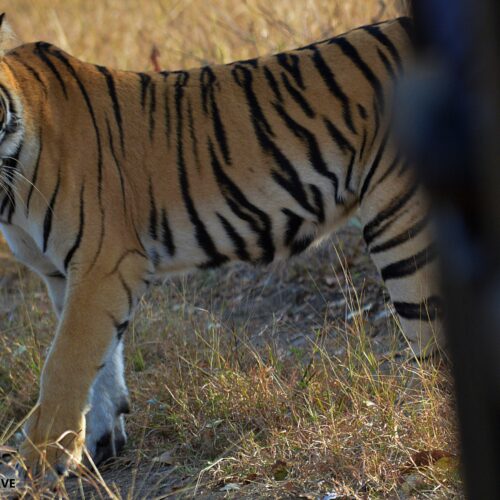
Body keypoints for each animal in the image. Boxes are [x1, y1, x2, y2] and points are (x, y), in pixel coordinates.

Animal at [0, 12, 440, 476]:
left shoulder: (105, 263)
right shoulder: (64, 276)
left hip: (402, 227)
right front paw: (98, 446)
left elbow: (65, 362)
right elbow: (103, 366)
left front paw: (40, 461)